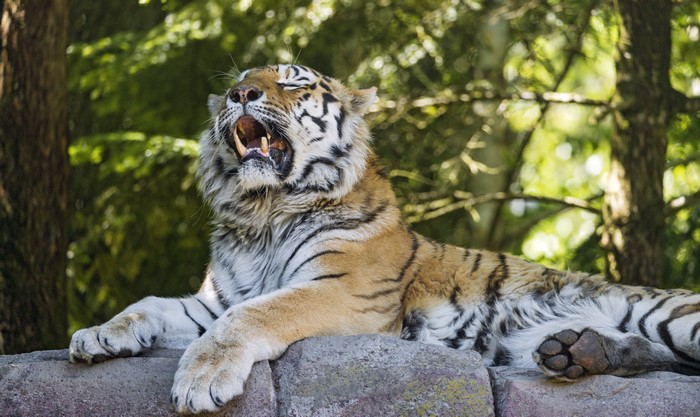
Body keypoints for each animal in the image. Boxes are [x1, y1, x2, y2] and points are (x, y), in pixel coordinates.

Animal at [69, 64, 700, 414]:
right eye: (238, 83)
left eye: (291, 82)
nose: (240, 96)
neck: (263, 212)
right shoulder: (214, 298)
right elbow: (149, 304)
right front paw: (97, 336)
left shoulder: (342, 290)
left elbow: (252, 318)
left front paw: (201, 380)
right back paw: (577, 352)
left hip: (669, 312)